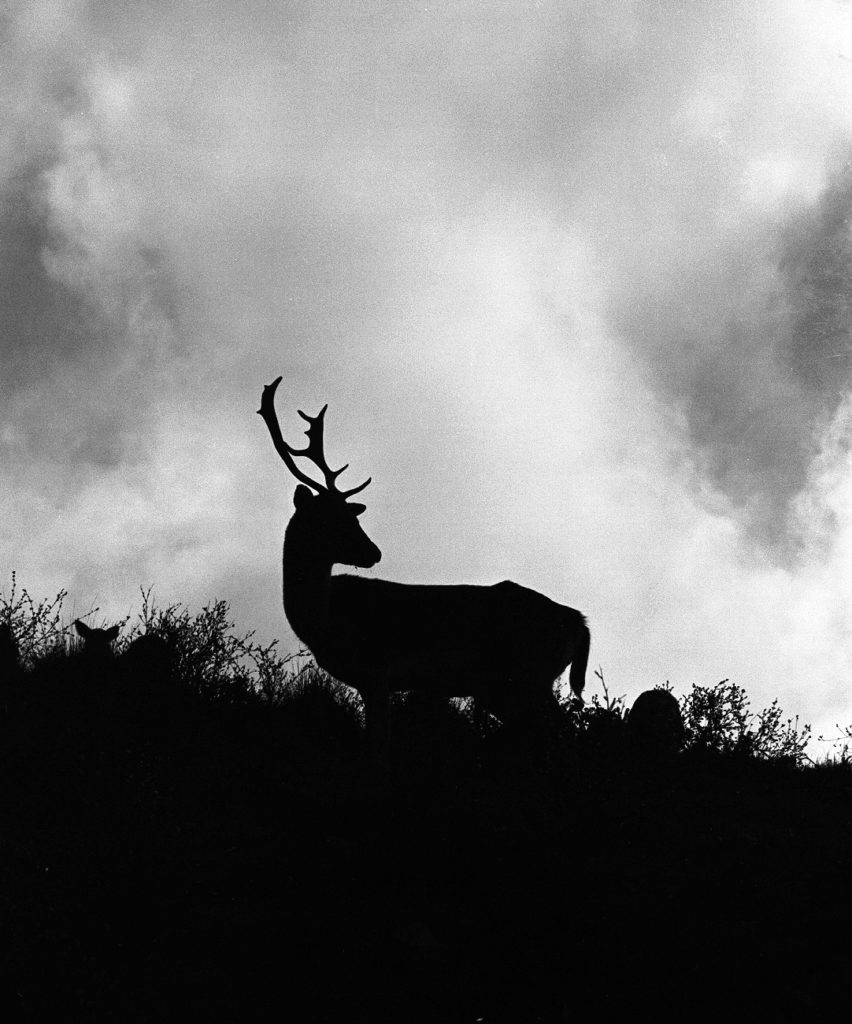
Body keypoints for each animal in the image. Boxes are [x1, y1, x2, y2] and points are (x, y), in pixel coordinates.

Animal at [258, 376, 590, 769]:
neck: (325, 621)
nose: (374, 552)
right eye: (329, 518)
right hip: (507, 686)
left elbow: (378, 748)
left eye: (352, 517)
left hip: (529, 674)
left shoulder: (376, 670)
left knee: (565, 733)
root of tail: (578, 621)